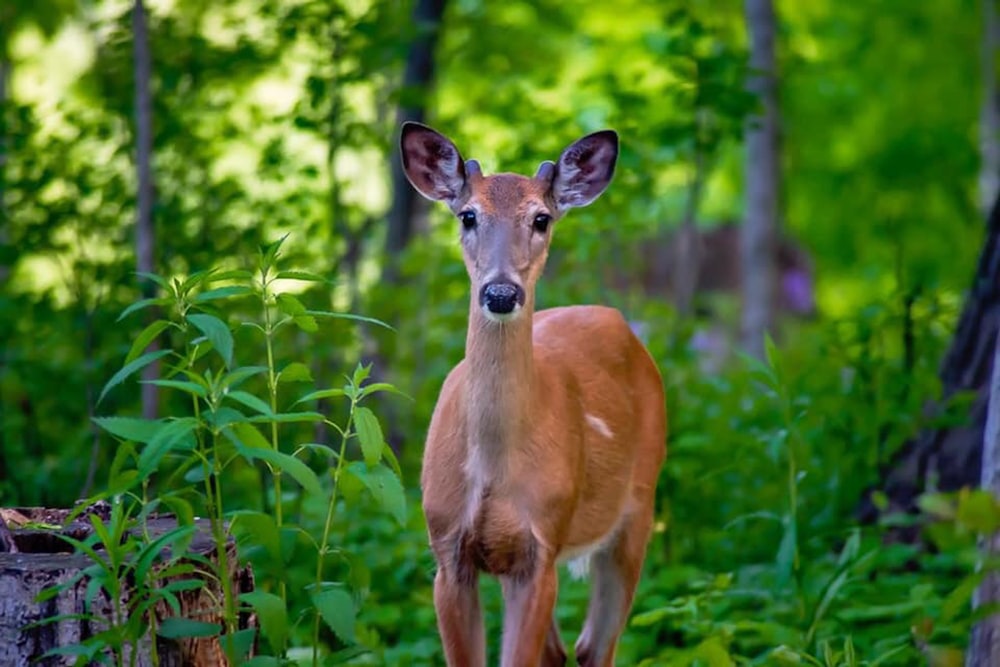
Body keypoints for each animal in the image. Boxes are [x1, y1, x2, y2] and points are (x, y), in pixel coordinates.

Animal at [400, 121, 672, 667]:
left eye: (542, 218)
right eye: (468, 214)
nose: (501, 293)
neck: (491, 467)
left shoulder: (541, 546)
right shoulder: (448, 550)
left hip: (639, 507)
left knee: (596, 648)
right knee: (565, 651)